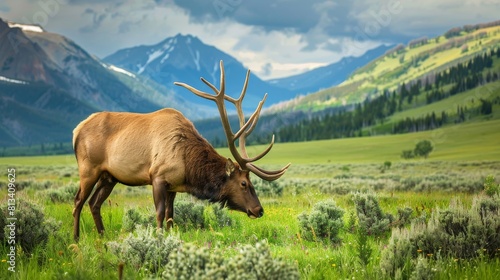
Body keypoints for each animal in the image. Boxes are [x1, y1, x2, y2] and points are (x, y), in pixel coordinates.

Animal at [71, 60, 290, 240]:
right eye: (244, 183)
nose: (259, 209)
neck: (188, 165)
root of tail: (76, 130)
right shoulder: (157, 177)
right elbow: (159, 213)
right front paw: (158, 239)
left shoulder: (173, 186)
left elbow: (170, 216)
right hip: (88, 169)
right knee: (78, 201)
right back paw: (75, 238)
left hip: (109, 176)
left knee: (94, 203)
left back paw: (102, 236)